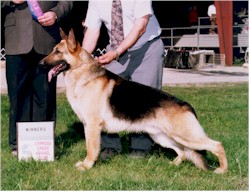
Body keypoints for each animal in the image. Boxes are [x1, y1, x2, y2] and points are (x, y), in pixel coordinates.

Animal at [40, 28, 228, 174]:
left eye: (57, 52)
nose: (40, 64)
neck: (82, 72)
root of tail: (186, 105)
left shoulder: (93, 126)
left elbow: (91, 149)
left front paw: (87, 166)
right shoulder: (88, 127)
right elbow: (90, 146)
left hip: (185, 135)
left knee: (217, 145)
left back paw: (222, 170)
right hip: (163, 137)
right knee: (182, 151)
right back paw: (173, 164)